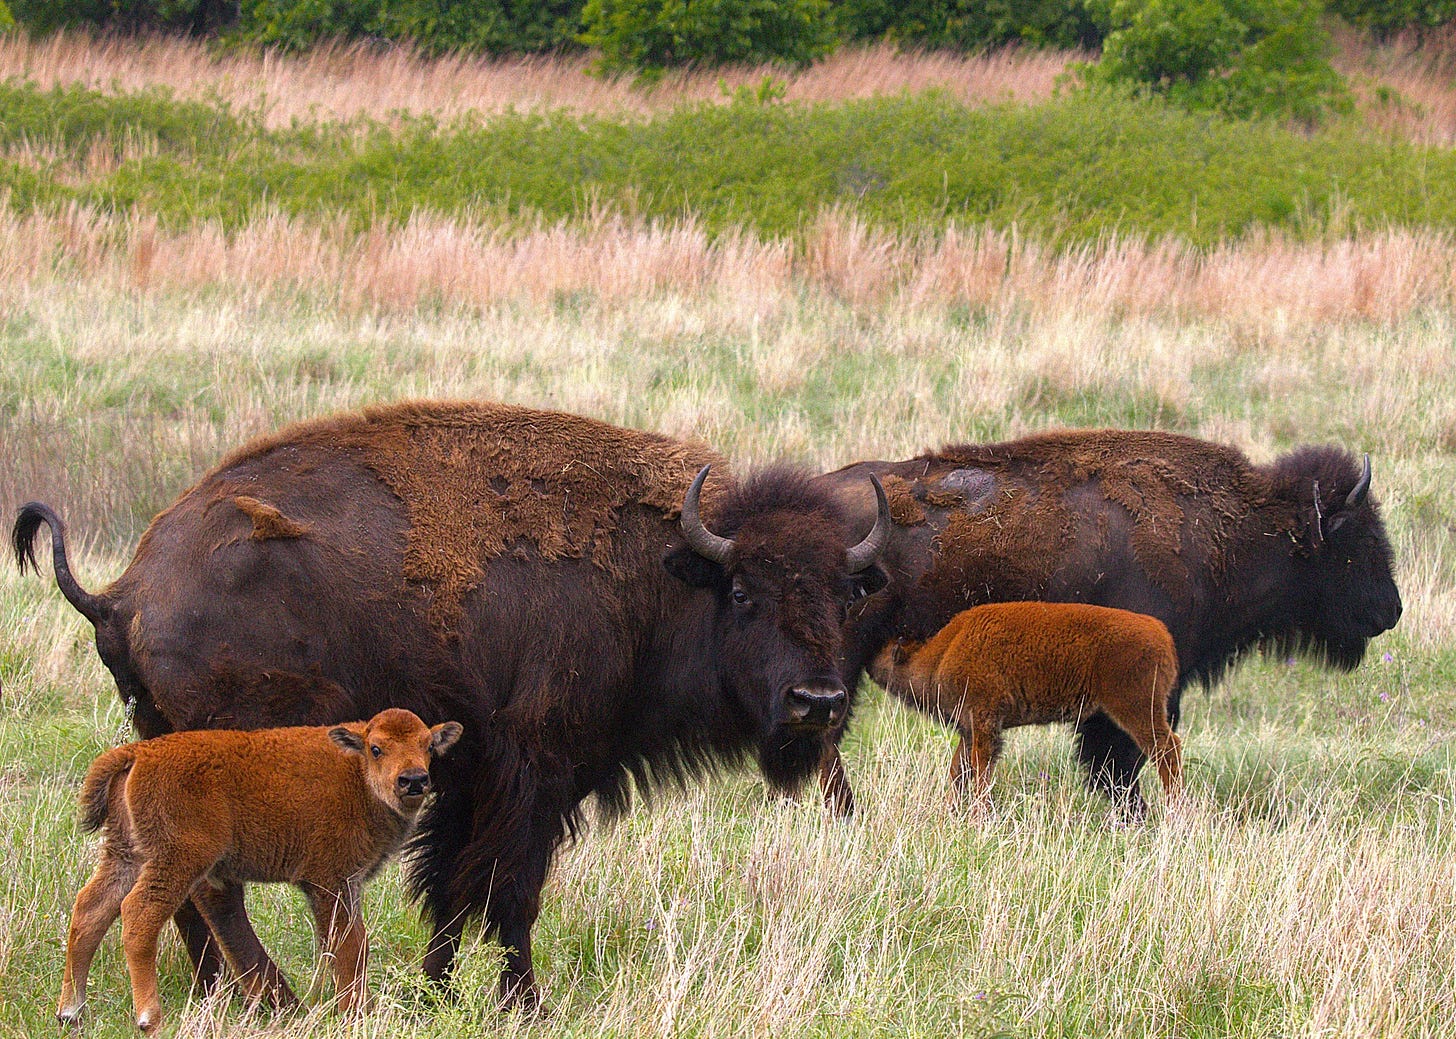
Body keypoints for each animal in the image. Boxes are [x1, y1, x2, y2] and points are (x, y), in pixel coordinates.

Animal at [15, 399, 891, 1008]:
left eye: (845, 594)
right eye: (743, 592)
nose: (817, 699)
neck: (662, 575)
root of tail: (125, 590)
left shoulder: (464, 777)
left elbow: (448, 887)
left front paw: (436, 992)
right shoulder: (533, 772)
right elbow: (508, 888)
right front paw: (525, 1004)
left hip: (159, 743)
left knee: (172, 888)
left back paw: (223, 994)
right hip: (232, 759)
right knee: (207, 885)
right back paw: (270, 998)